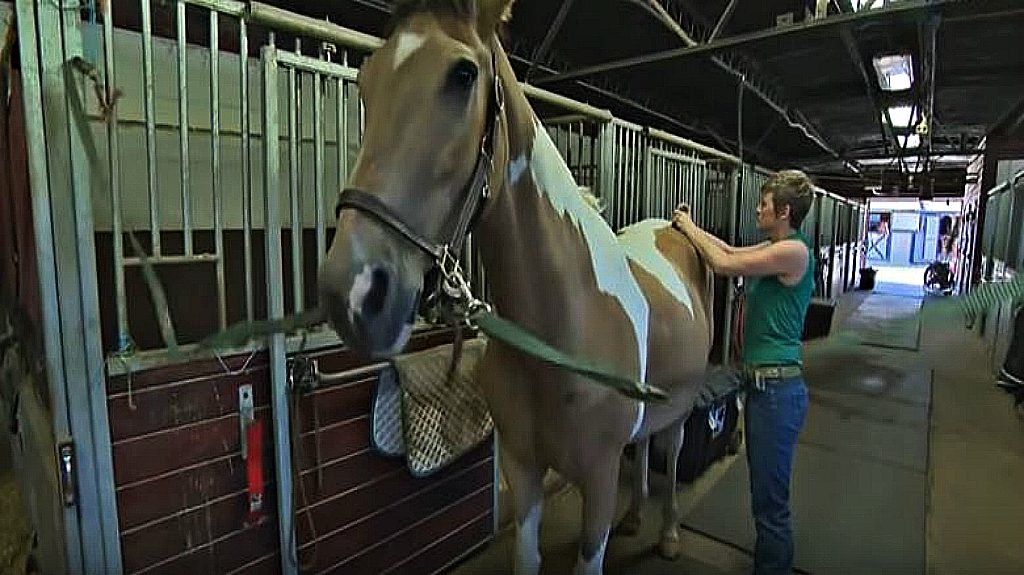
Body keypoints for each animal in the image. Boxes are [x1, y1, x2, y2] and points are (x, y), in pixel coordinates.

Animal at [318, 1, 715, 573]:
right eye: (367, 82)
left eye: (463, 75)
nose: (351, 294)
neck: (567, 320)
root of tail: (674, 229)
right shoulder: (523, 469)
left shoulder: (597, 483)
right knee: (642, 449)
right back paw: (636, 516)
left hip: (679, 411)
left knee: (673, 449)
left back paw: (668, 534)